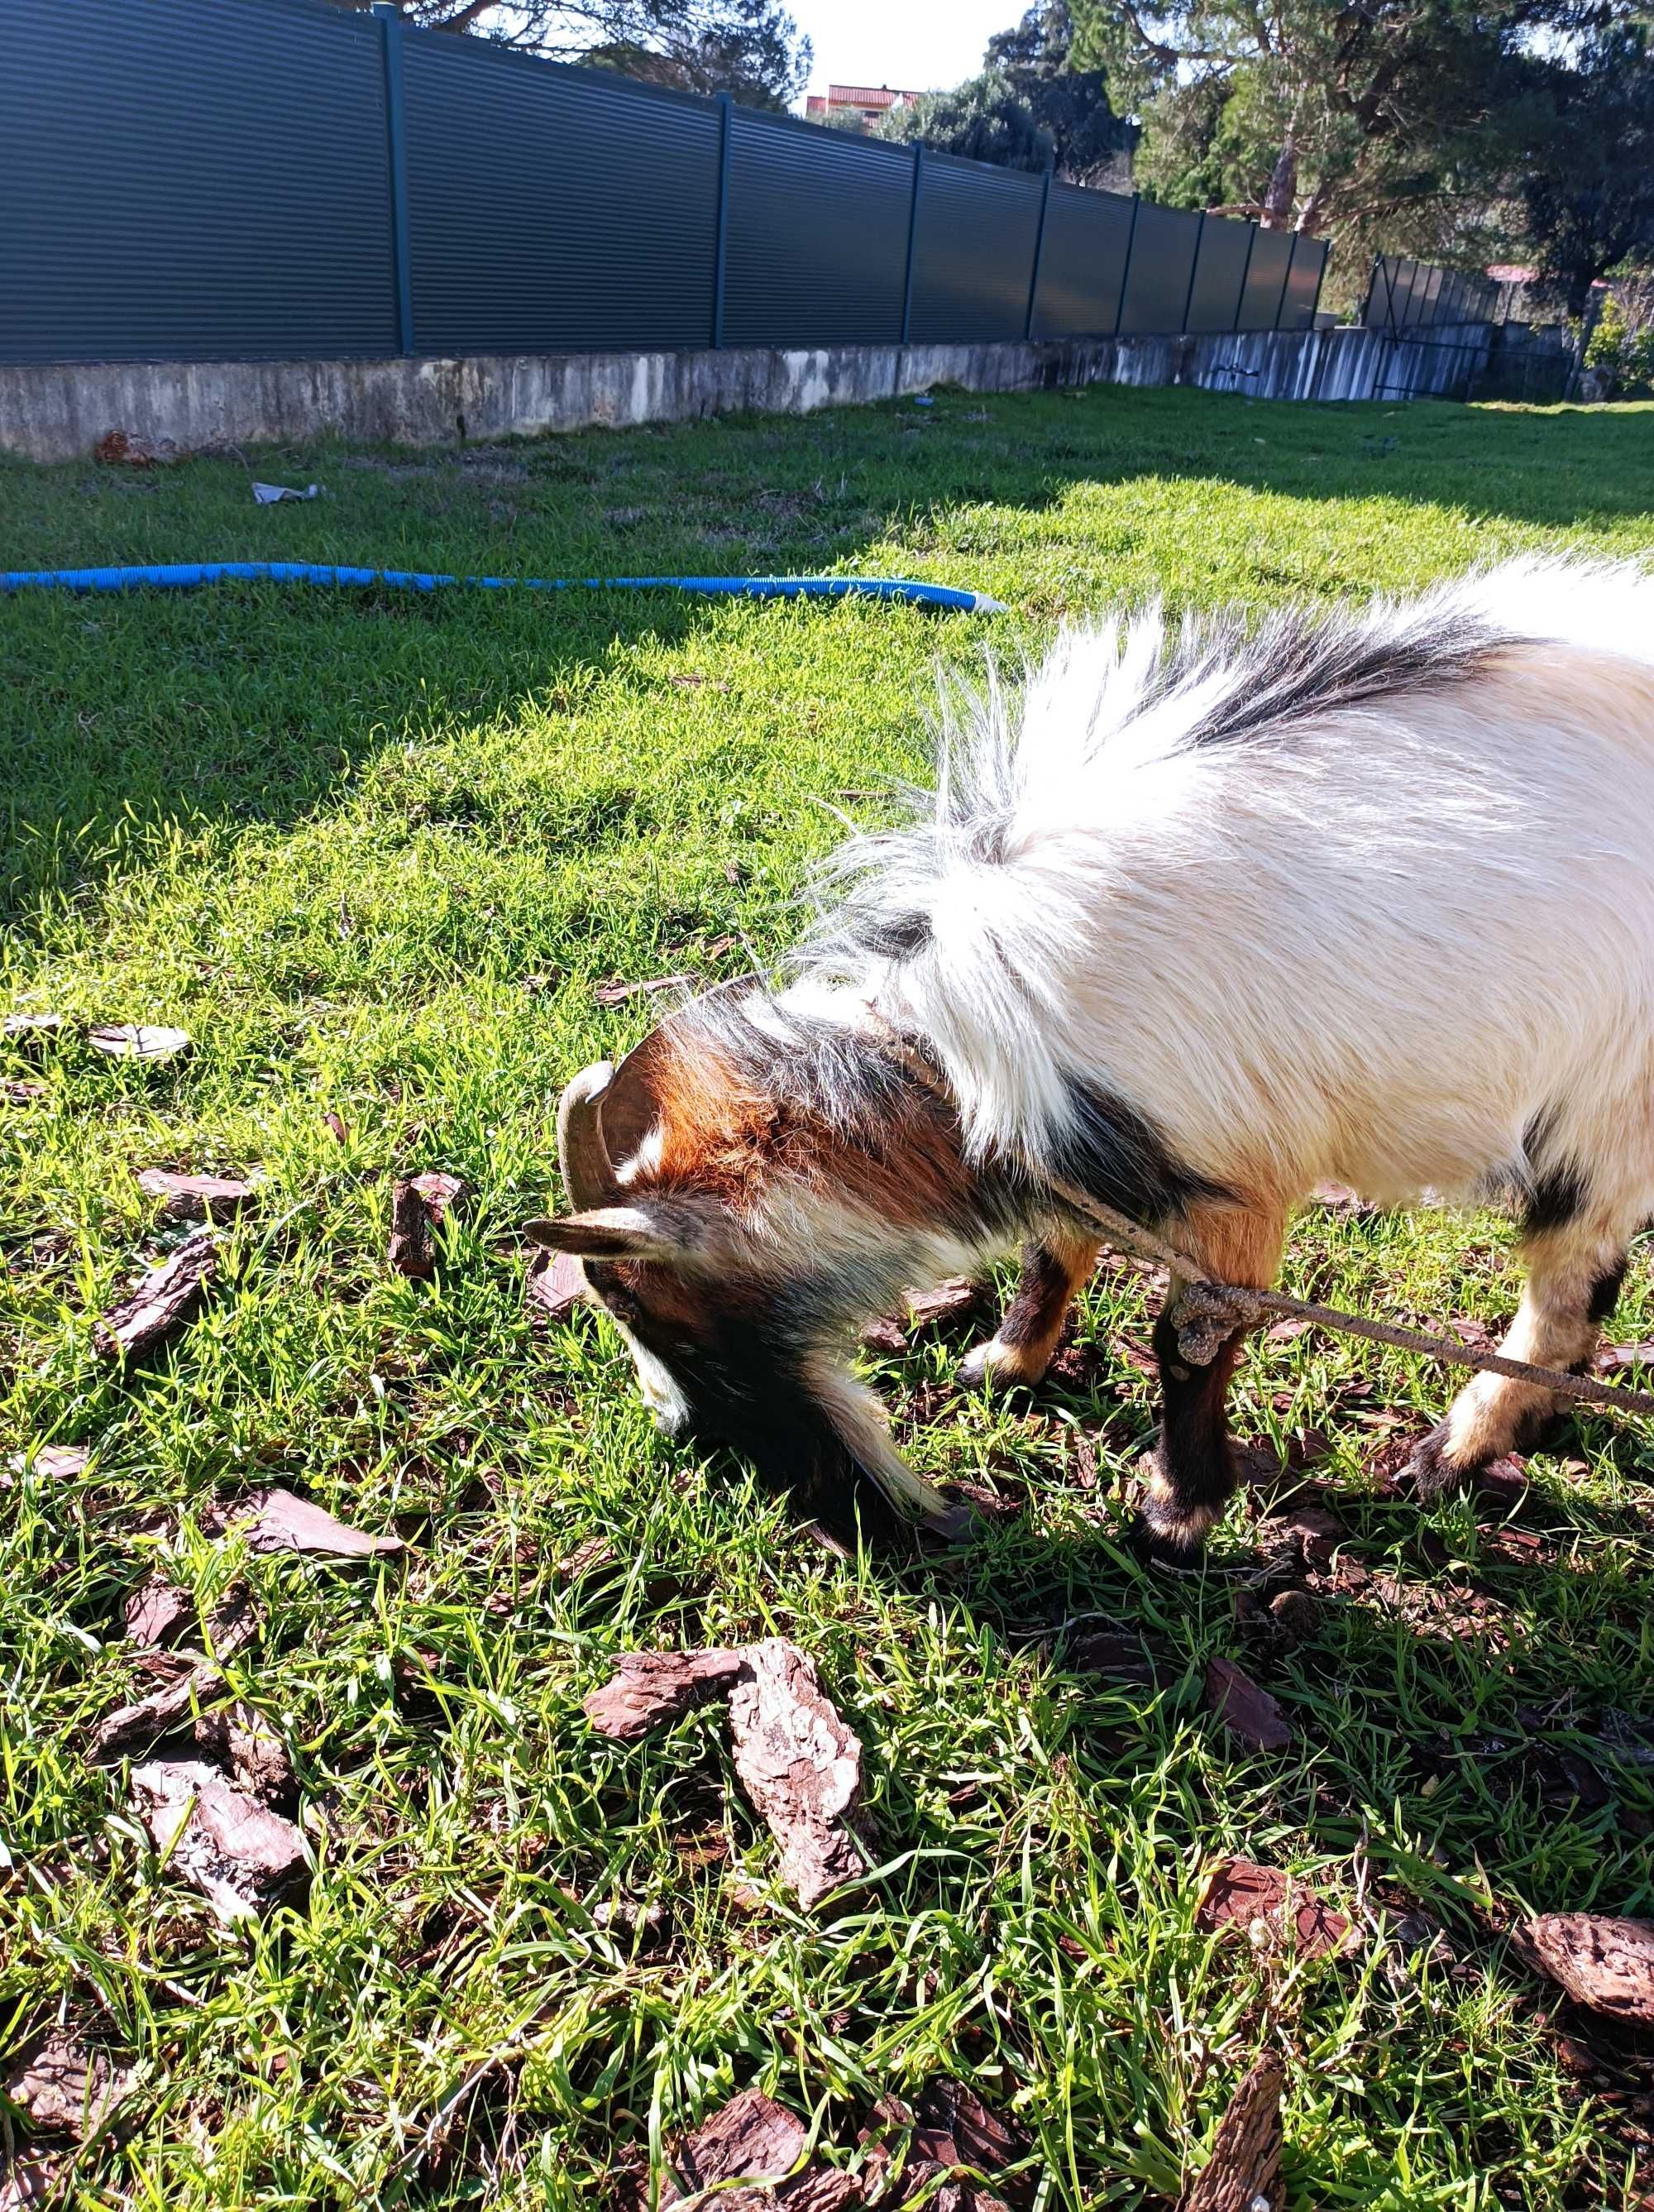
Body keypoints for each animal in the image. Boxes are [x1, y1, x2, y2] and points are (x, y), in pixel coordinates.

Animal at [530, 553, 1654, 1557]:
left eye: (670, 1323)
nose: (681, 1431)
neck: (953, 1062)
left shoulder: (1233, 1171)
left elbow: (1190, 1338)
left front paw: (1174, 1514)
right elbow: (1053, 1243)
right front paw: (1003, 1360)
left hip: (1602, 1116)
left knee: (1565, 1294)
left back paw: (1445, 1456)